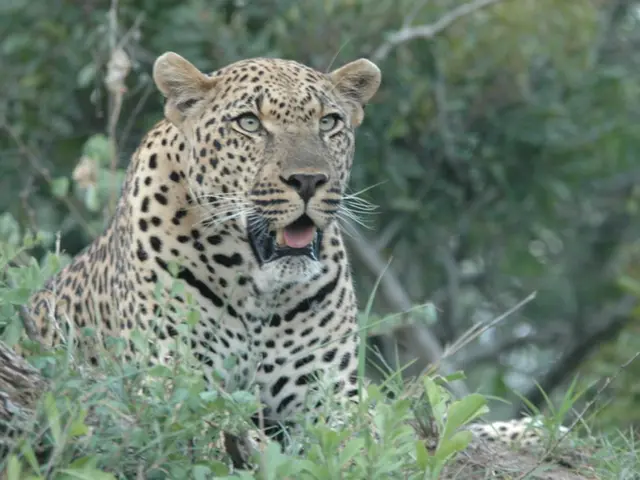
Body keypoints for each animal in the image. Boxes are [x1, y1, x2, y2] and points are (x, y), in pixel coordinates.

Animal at [23, 51, 564, 461]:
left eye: (329, 123)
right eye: (249, 123)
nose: (308, 180)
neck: (256, 291)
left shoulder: (328, 398)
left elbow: (370, 436)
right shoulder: (174, 387)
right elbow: (252, 441)